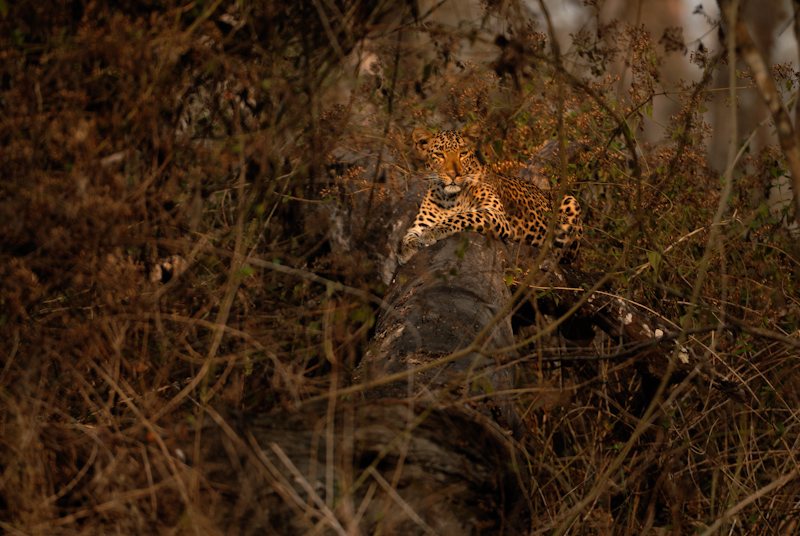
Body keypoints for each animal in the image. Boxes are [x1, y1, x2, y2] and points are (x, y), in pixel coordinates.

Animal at [398, 126, 580, 268]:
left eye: (463, 153)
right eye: (439, 154)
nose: (453, 174)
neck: (449, 198)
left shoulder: (495, 214)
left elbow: (462, 216)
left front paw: (433, 231)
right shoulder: (418, 226)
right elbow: (407, 238)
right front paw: (406, 251)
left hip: (570, 201)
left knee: (563, 255)